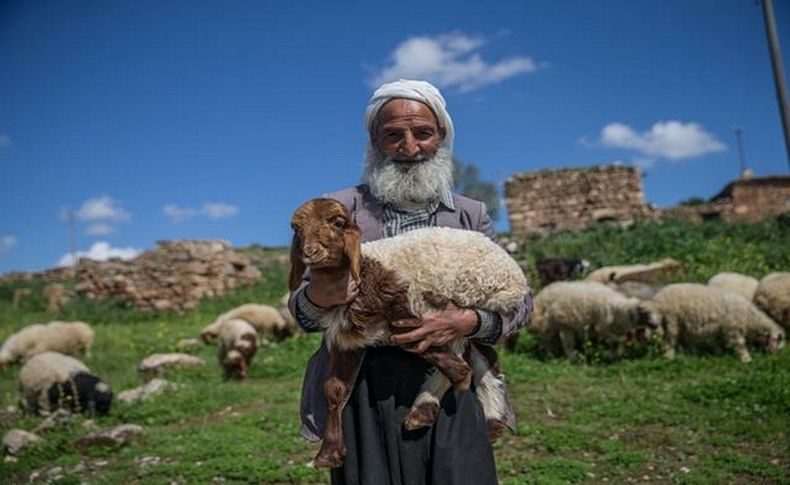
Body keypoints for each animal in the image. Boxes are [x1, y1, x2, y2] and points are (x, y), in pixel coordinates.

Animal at [528, 278, 660, 362]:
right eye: (645, 312)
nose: (656, 325)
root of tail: (542, 294)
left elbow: (616, 343)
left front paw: (613, 356)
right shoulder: (602, 328)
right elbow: (615, 342)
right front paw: (610, 356)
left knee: (550, 340)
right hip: (560, 323)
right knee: (558, 342)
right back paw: (561, 356)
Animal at [644, 282, 784, 362]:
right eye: (780, 340)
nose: (779, 356)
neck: (750, 317)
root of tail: (658, 299)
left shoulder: (721, 328)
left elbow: (718, 342)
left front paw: (719, 353)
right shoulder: (733, 328)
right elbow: (740, 344)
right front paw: (746, 359)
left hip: (678, 322)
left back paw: (687, 353)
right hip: (671, 319)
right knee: (670, 340)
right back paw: (669, 356)